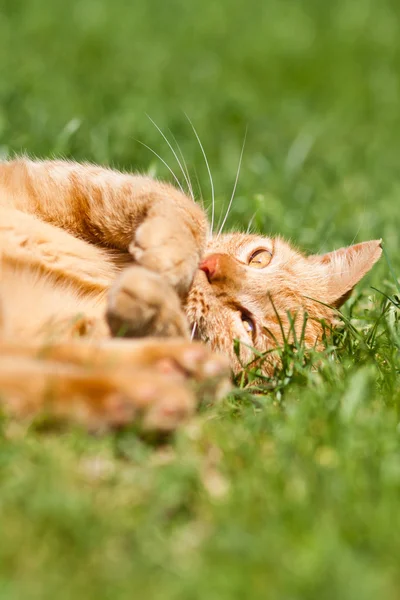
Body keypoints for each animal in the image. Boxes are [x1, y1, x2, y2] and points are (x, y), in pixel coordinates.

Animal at [0, 158, 382, 432]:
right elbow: (183, 207)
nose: (211, 268)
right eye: (260, 257)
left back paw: (160, 381)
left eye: (247, 324)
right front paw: (169, 254)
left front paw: (150, 302)